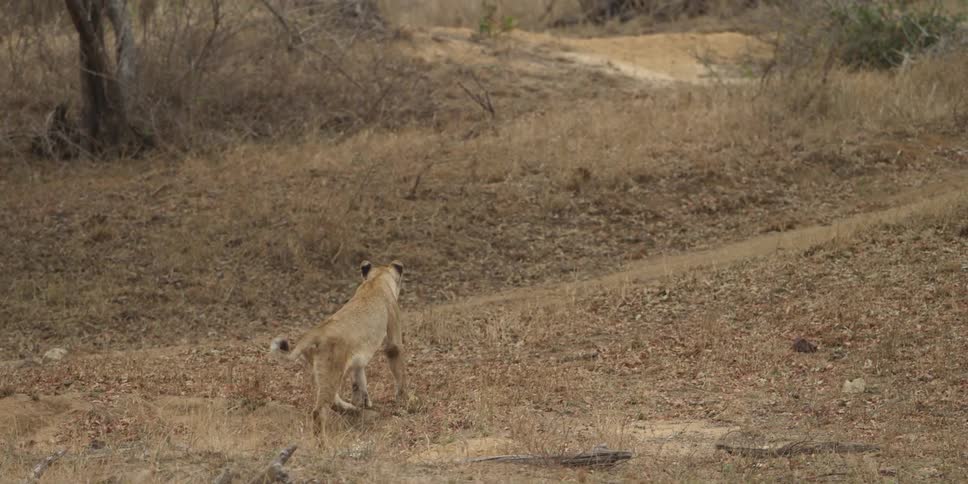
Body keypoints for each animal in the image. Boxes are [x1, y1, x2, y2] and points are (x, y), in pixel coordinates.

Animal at [270, 260, 408, 433]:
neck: (375, 281)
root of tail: (315, 332)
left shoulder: (359, 358)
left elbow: (359, 380)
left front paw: (364, 403)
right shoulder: (393, 341)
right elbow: (398, 371)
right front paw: (404, 398)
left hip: (321, 372)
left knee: (333, 401)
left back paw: (352, 410)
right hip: (333, 372)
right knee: (319, 411)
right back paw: (323, 439)